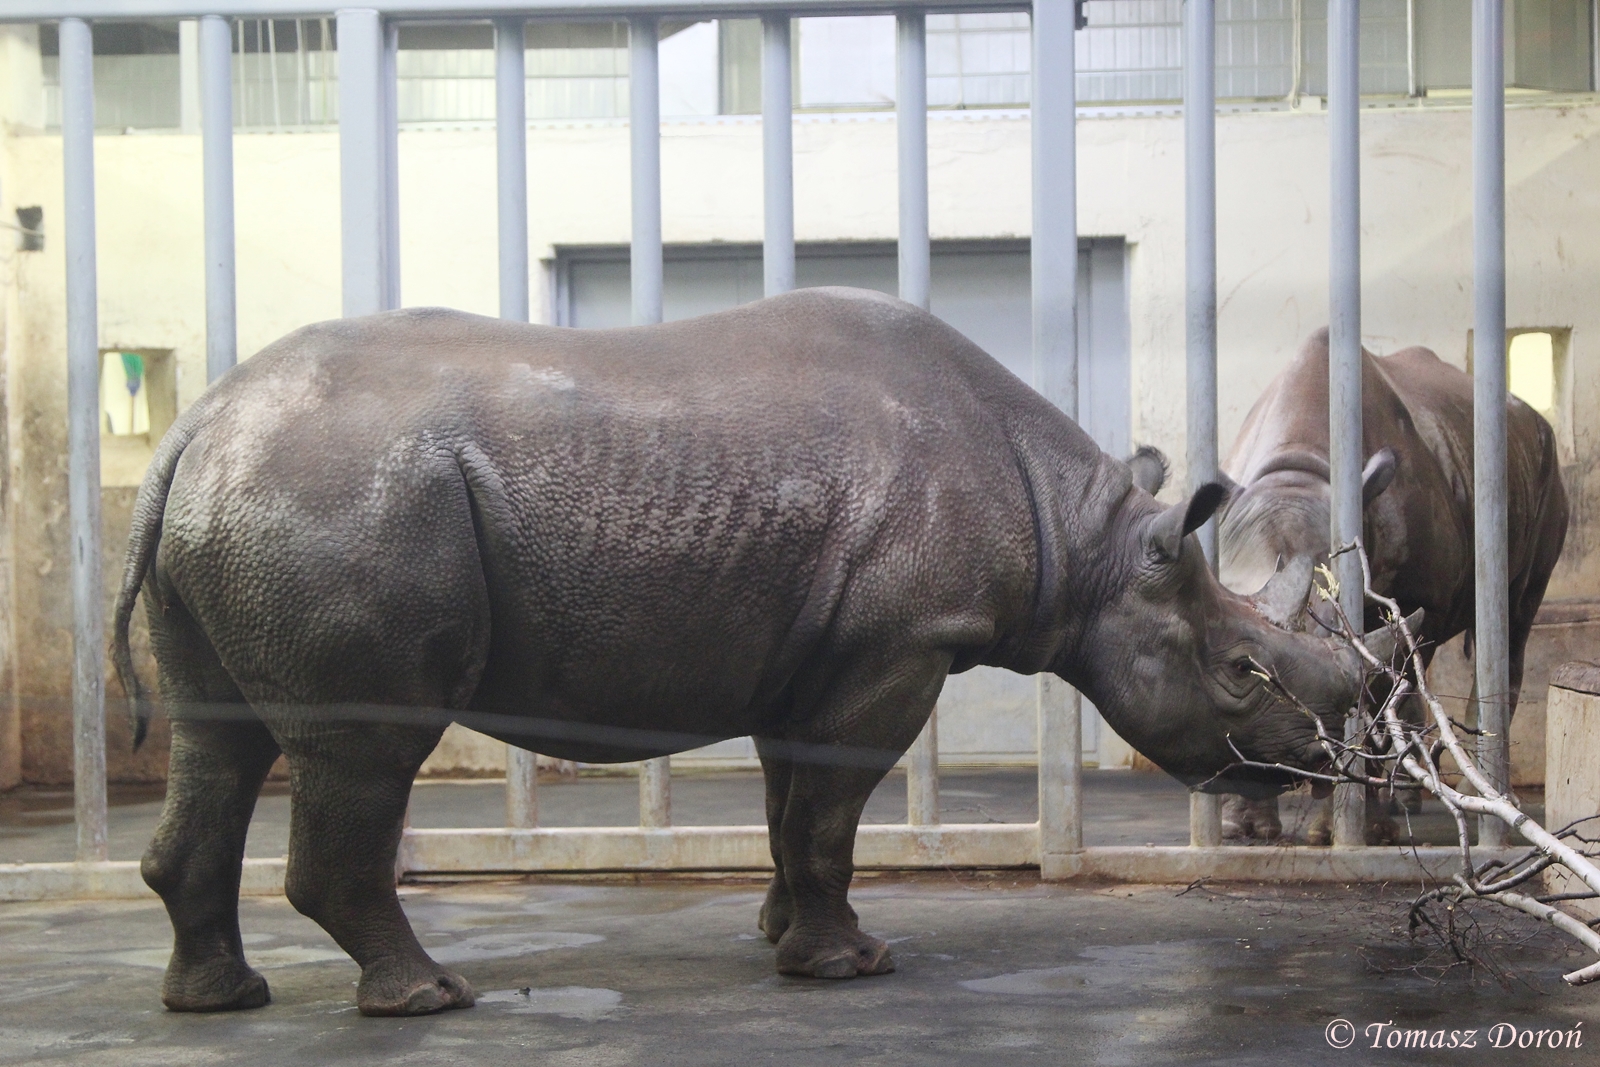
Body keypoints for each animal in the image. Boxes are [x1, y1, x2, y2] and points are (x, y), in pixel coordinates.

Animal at [112, 289, 1390, 1017]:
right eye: (1239, 672)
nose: (1328, 758)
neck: (1085, 546)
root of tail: (196, 427)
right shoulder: (895, 642)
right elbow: (826, 809)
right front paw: (851, 966)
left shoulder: (822, 647)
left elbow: (791, 801)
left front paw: (782, 935)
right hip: (335, 500)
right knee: (365, 752)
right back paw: (426, 998)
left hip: (258, 499)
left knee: (216, 739)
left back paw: (219, 999)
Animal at [1192, 329, 1568, 842]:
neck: (1299, 470)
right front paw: (1242, 828)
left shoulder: (1404, 601)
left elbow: (1372, 691)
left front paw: (1351, 831)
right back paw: (1410, 798)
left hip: (1547, 478)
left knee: (1510, 618)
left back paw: (1481, 799)